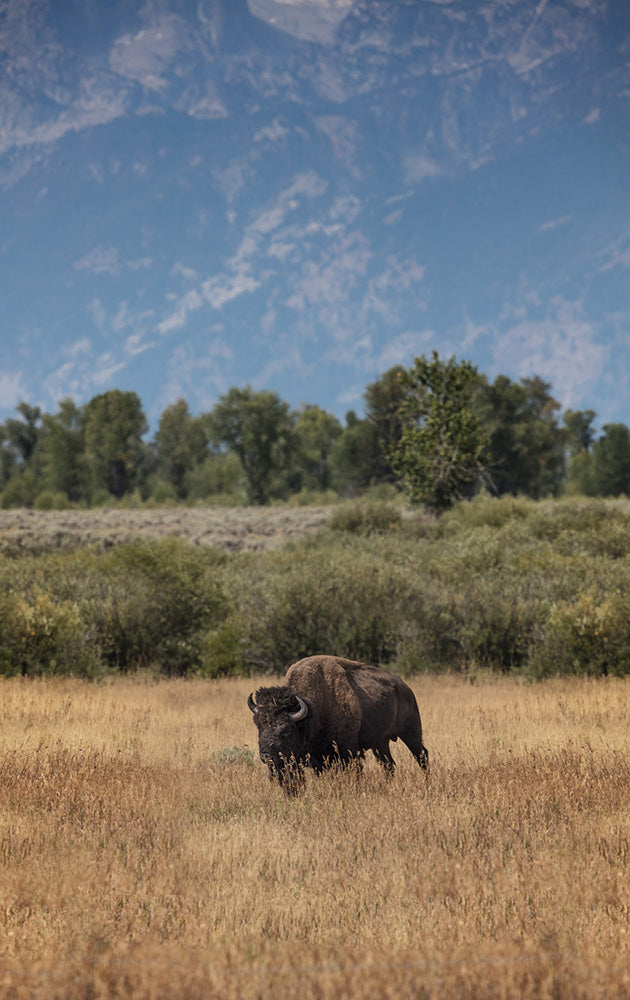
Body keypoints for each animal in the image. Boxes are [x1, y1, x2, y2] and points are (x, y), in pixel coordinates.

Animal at [247, 652, 430, 792]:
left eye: (286, 730)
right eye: (259, 725)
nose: (266, 756)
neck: (314, 711)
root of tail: (405, 688)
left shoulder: (348, 753)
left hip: (411, 734)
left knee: (422, 756)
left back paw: (428, 784)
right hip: (380, 743)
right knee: (389, 764)